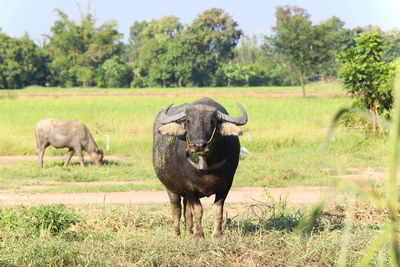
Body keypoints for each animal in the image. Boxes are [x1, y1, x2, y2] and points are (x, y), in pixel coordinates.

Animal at [153, 97, 247, 239]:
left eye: (212, 121)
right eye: (188, 121)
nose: (198, 146)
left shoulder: (226, 185)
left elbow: (217, 210)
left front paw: (217, 234)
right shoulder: (189, 187)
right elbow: (198, 210)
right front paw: (199, 235)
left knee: (187, 211)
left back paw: (189, 232)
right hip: (170, 188)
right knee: (176, 209)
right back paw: (177, 234)